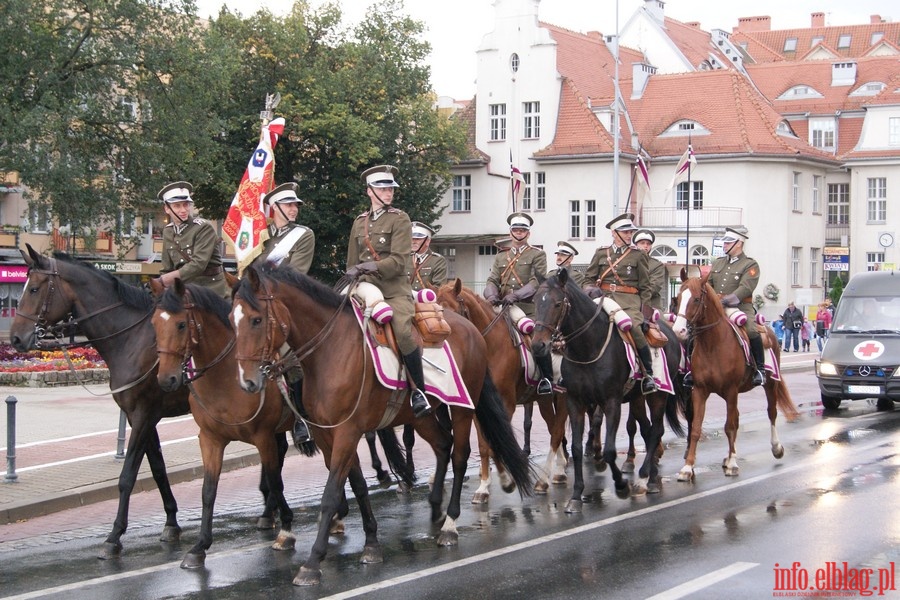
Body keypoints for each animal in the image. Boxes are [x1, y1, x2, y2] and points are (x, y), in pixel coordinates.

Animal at [229, 268, 536, 584]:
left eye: (256, 319)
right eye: (231, 320)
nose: (247, 381)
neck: (330, 349)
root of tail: (472, 329)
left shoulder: (347, 432)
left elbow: (330, 494)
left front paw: (313, 562)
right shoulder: (329, 434)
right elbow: (358, 486)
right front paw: (372, 544)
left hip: (463, 408)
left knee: (460, 457)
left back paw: (450, 524)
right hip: (422, 416)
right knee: (443, 446)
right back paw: (435, 507)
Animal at [438, 278, 568, 500]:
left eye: (451, 312)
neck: (490, 346)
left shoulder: (506, 405)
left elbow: (494, 444)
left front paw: (506, 481)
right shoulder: (479, 407)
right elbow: (484, 446)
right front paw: (484, 485)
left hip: (563, 397)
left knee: (557, 430)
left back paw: (554, 473)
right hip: (543, 399)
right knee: (553, 427)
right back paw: (558, 469)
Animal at [532, 272, 684, 510]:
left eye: (557, 304)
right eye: (535, 301)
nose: (538, 345)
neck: (588, 347)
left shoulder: (611, 402)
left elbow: (610, 450)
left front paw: (621, 485)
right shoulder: (575, 401)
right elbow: (576, 448)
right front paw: (576, 496)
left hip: (658, 395)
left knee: (656, 430)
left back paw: (646, 479)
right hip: (637, 398)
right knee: (648, 429)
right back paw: (650, 474)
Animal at [668, 270, 800, 480]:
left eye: (696, 299)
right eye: (678, 299)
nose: (678, 330)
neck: (712, 345)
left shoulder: (731, 390)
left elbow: (729, 426)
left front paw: (732, 464)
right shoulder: (700, 391)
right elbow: (696, 428)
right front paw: (688, 467)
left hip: (769, 384)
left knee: (771, 413)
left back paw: (775, 448)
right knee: (737, 418)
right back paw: (729, 456)